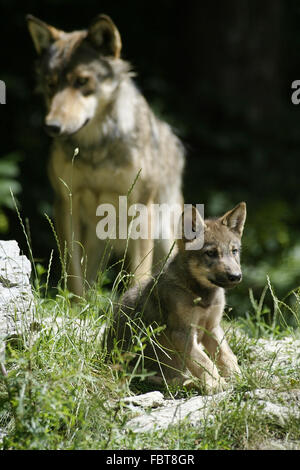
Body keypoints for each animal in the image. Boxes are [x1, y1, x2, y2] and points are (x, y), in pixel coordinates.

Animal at [26, 13, 185, 294]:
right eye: (51, 84)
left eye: (82, 81)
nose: (51, 126)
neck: (95, 149)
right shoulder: (65, 203)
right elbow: (74, 277)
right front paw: (77, 306)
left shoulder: (142, 209)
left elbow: (138, 277)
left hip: (165, 237)